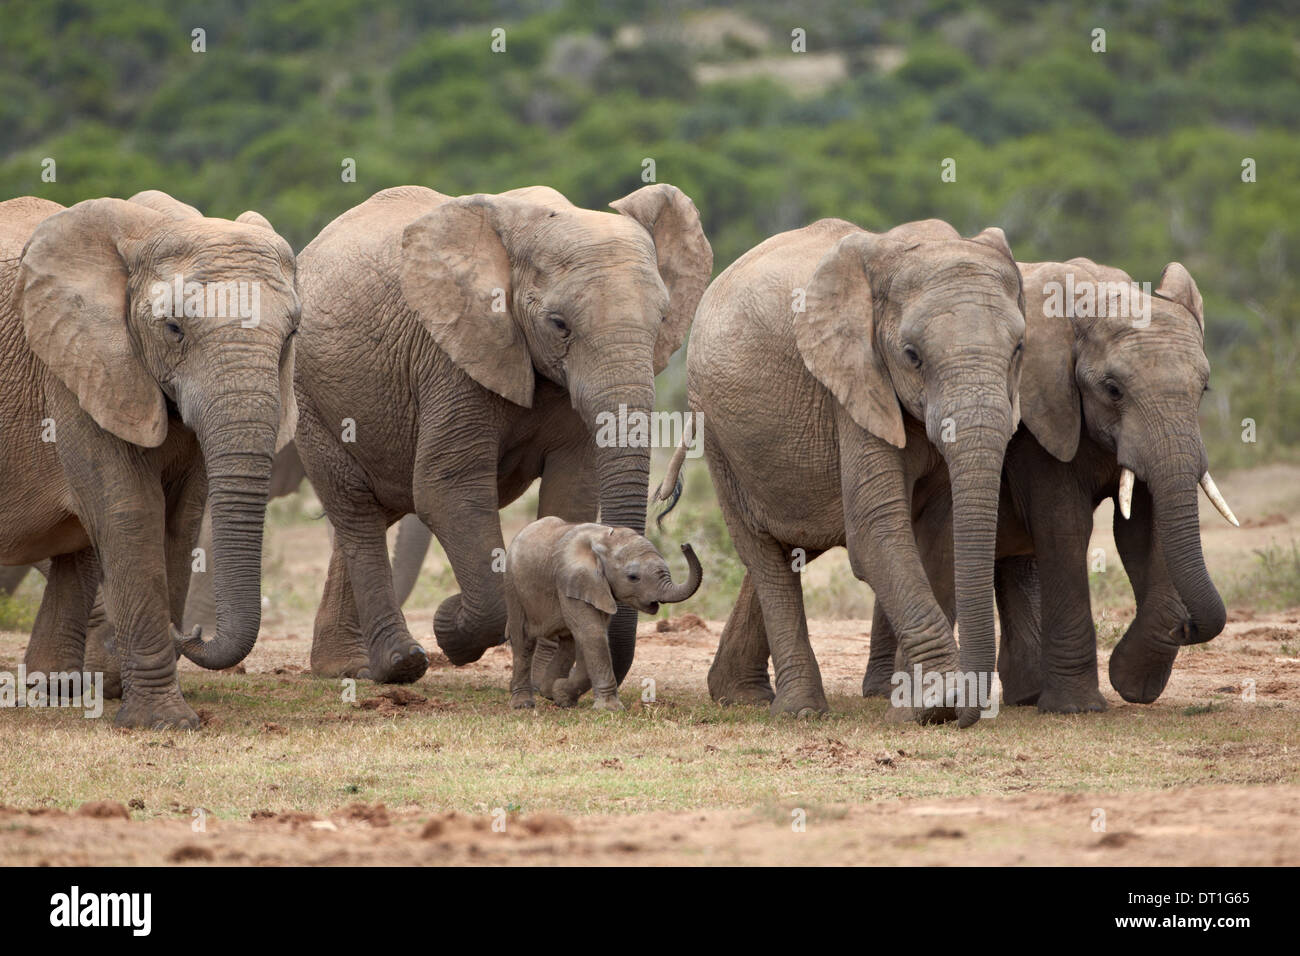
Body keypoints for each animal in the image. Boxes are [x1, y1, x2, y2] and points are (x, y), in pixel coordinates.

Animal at [0, 195, 297, 733]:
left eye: (291, 335)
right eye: (174, 329)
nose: (192, 632)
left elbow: (180, 521)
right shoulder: (78, 367)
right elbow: (130, 512)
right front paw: (165, 722)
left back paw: (55, 692)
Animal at [296, 180, 712, 686]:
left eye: (663, 320)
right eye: (559, 325)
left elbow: (572, 491)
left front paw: (548, 678)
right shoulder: (453, 356)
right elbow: (447, 489)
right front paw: (450, 625)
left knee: (377, 506)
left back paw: (346, 667)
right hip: (310, 397)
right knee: (356, 509)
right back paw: (400, 664)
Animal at [504, 515, 702, 712]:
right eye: (633, 577)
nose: (685, 545)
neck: (605, 540)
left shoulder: (596, 588)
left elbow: (592, 636)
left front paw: (562, 695)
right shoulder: (571, 579)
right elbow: (592, 633)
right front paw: (610, 709)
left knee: (568, 641)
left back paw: (549, 691)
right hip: (513, 587)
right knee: (523, 640)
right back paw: (523, 704)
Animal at [686, 217, 1029, 723]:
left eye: (1019, 348)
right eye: (912, 355)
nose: (972, 709)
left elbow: (941, 535)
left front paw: (916, 706)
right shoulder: (851, 384)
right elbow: (875, 530)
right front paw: (939, 705)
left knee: (791, 544)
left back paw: (740, 695)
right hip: (715, 431)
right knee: (763, 551)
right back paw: (800, 712)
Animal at [863, 260, 1227, 712]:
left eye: (1203, 389)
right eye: (1113, 389)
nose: (1188, 628)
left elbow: (1143, 528)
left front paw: (1133, 683)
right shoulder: (1039, 422)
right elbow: (1065, 527)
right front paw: (1079, 707)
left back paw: (1024, 694)